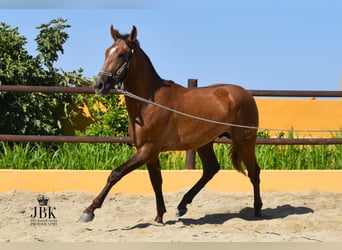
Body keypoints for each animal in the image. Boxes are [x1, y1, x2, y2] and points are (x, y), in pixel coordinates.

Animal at [79, 25, 262, 224]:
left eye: (121, 54)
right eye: (107, 52)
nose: (99, 85)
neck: (148, 103)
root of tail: (247, 95)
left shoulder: (148, 149)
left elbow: (116, 174)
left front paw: (89, 211)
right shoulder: (148, 152)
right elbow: (156, 181)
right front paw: (159, 216)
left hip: (244, 141)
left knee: (254, 172)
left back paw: (258, 210)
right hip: (204, 143)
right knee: (211, 169)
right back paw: (182, 205)